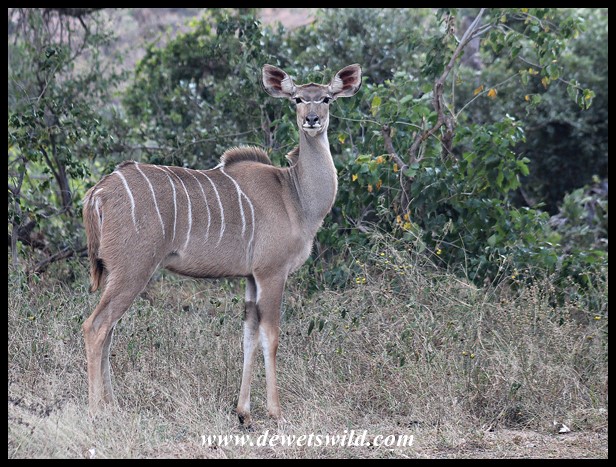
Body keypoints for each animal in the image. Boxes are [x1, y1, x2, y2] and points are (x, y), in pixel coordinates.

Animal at [82, 63, 362, 426]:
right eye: (298, 99)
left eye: (326, 98)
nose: (312, 119)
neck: (294, 195)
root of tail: (98, 192)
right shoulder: (272, 272)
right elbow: (271, 336)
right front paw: (275, 412)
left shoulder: (251, 278)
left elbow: (248, 336)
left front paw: (243, 412)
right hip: (133, 269)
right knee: (96, 326)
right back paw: (96, 411)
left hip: (120, 273)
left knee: (109, 329)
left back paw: (114, 406)